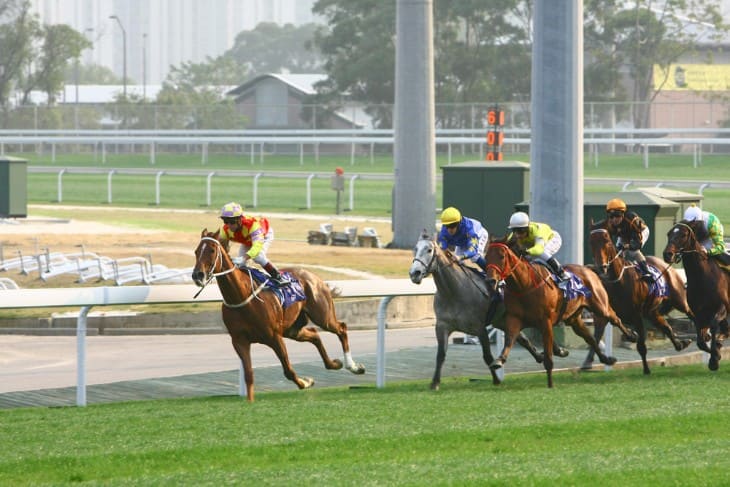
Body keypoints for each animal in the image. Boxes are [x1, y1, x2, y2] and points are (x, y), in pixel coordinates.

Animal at [192, 231, 364, 402]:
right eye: (196, 251)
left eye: (212, 250)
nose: (197, 275)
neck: (242, 296)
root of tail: (314, 277)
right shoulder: (239, 341)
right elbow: (249, 374)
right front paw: (250, 401)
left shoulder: (274, 336)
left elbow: (288, 370)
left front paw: (304, 382)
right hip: (292, 329)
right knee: (315, 335)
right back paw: (334, 364)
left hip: (322, 316)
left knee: (341, 328)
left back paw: (354, 367)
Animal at [406, 234, 564, 390]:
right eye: (415, 249)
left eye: (429, 250)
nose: (415, 273)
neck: (454, 293)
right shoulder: (442, 326)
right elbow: (440, 355)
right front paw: (435, 383)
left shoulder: (480, 328)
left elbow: (487, 356)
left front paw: (496, 380)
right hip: (504, 320)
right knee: (523, 338)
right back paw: (543, 355)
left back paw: (557, 351)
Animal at [480, 239, 636, 388]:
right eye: (486, 257)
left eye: (501, 256)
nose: (490, 280)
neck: (524, 285)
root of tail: (588, 269)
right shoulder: (514, 319)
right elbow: (510, 340)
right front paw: (499, 361)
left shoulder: (546, 322)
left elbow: (548, 358)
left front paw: (550, 385)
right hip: (574, 319)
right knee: (590, 338)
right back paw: (606, 359)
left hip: (600, 306)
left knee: (615, 318)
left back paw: (631, 336)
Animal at [584, 223, 692, 376]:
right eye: (591, 242)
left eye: (607, 241)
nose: (602, 267)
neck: (618, 281)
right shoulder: (602, 314)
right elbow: (598, 334)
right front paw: (588, 362)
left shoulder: (637, 316)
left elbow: (641, 345)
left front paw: (646, 369)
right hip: (652, 312)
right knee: (666, 326)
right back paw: (680, 344)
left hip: (680, 301)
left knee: (691, 314)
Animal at [660, 221, 728, 370]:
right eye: (668, 233)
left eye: (683, 235)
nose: (668, 254)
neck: (702, 278)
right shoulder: (697, 313)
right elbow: (701, 342)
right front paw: (716, 355)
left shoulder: (722, 308)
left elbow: (713, 325)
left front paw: (714, 358)